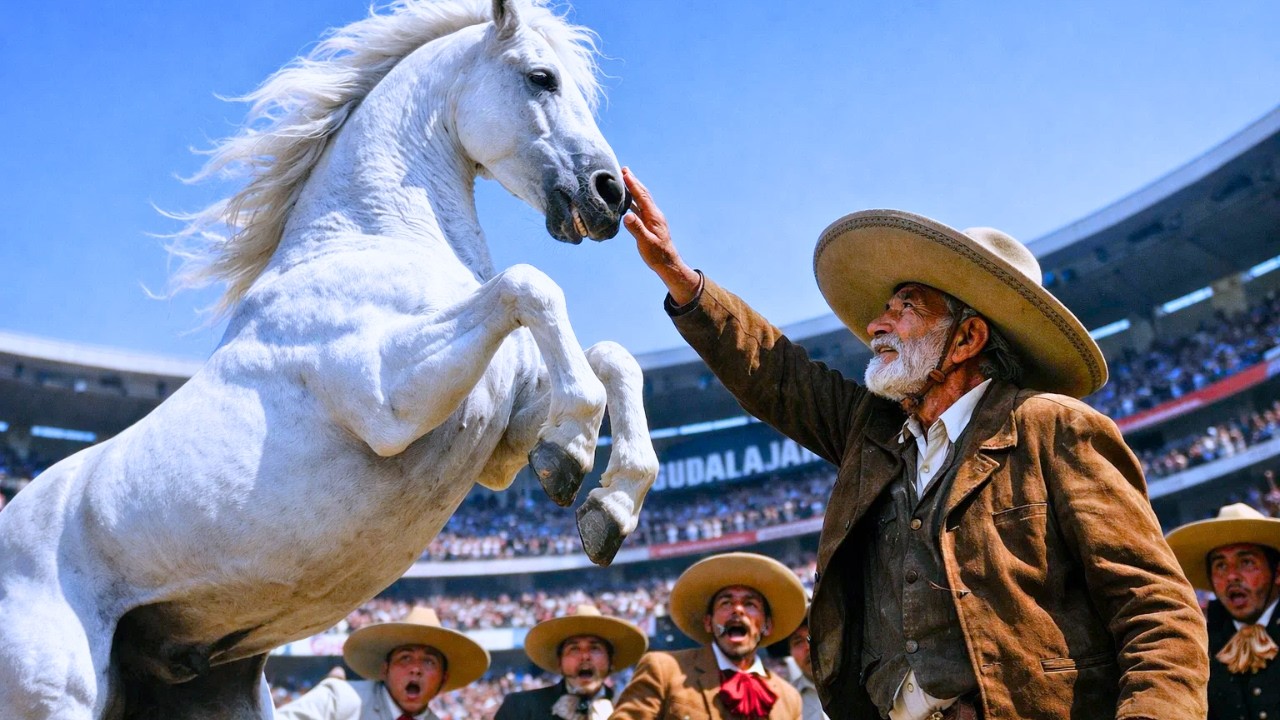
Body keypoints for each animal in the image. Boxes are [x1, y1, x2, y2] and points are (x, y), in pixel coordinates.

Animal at [0, 0, 658, 717]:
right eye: (541, 77)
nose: (610, 195)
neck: (367, 237)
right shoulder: (388, 401)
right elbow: (531, 285)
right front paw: (573, 452)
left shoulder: (500, 445)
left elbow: (613, 359)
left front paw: (608, 505)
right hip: (59, 695)